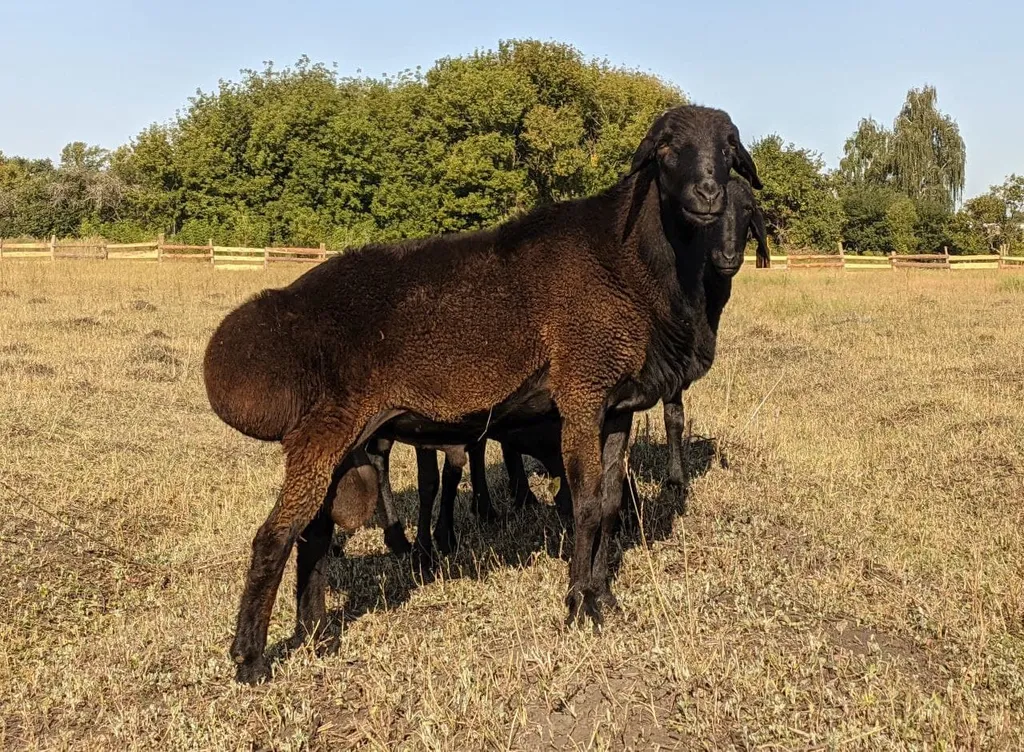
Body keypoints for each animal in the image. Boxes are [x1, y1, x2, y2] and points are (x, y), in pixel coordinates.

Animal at [201, 102, 761, 684]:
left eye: (728, 149)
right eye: (667, 149)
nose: (707, 195)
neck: (626, 260)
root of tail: (287, 307)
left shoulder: (614, 406)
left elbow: (608, 504)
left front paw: (605, 597)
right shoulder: (581, 389)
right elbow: (584, 504)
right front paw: (579, 604)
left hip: (339, 440)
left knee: (311, 534)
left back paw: (318, 635)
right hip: (323, 431)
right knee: (274, 536)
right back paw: (250, 659)